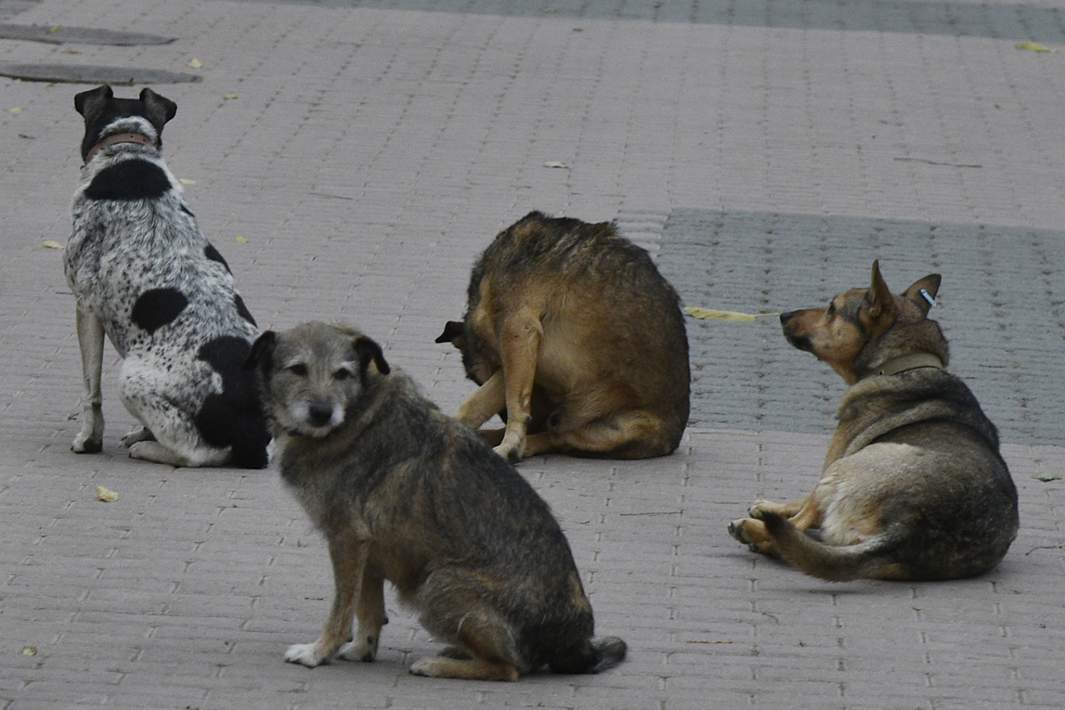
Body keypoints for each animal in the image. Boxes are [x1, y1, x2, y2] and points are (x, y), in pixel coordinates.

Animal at [64, 84, 270, 466]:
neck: (127, 149)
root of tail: (253, 438)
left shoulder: (85, 307)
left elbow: (90, 389)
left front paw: (88, 439)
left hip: (129, 378)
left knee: (194, 452)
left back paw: (149, 448)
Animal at [247, 321, 621, 677]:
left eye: (342, 373)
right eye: (297, 369)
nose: (322, 413)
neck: (357, 415)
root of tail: (577, 644)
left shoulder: (347, 539)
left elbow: (342, 610)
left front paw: (319, 652)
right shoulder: (368, 548)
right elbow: (368, 609)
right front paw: (361, 650)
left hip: (435, 585)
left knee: (510, 668)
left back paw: (438, 665)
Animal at [434, 209, 690, 466]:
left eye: (478, 378)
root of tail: (674, 439)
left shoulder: (518, 330)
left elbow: (512, 401)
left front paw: (510, 444)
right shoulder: (520, 352)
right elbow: (479, 402)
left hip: (614, 429)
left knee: (558, 439)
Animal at [728, 260, 1018, 583]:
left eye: (832, 308)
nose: (783, 316)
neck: (901, 365)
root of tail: (905, 530)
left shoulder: (832, 462)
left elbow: (805, 505)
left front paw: (770, 512)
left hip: (847, 465)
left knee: (799, 527)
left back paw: (753, 531)